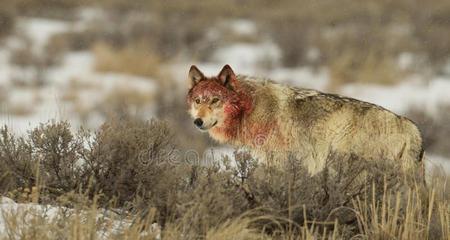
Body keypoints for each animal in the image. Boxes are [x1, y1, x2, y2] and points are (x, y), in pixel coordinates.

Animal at [185, 64, 424, 175]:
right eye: (198, 101)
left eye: (215, 100)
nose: (198, 122)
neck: (251, 107)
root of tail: (409, 125)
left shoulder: (279, 162)